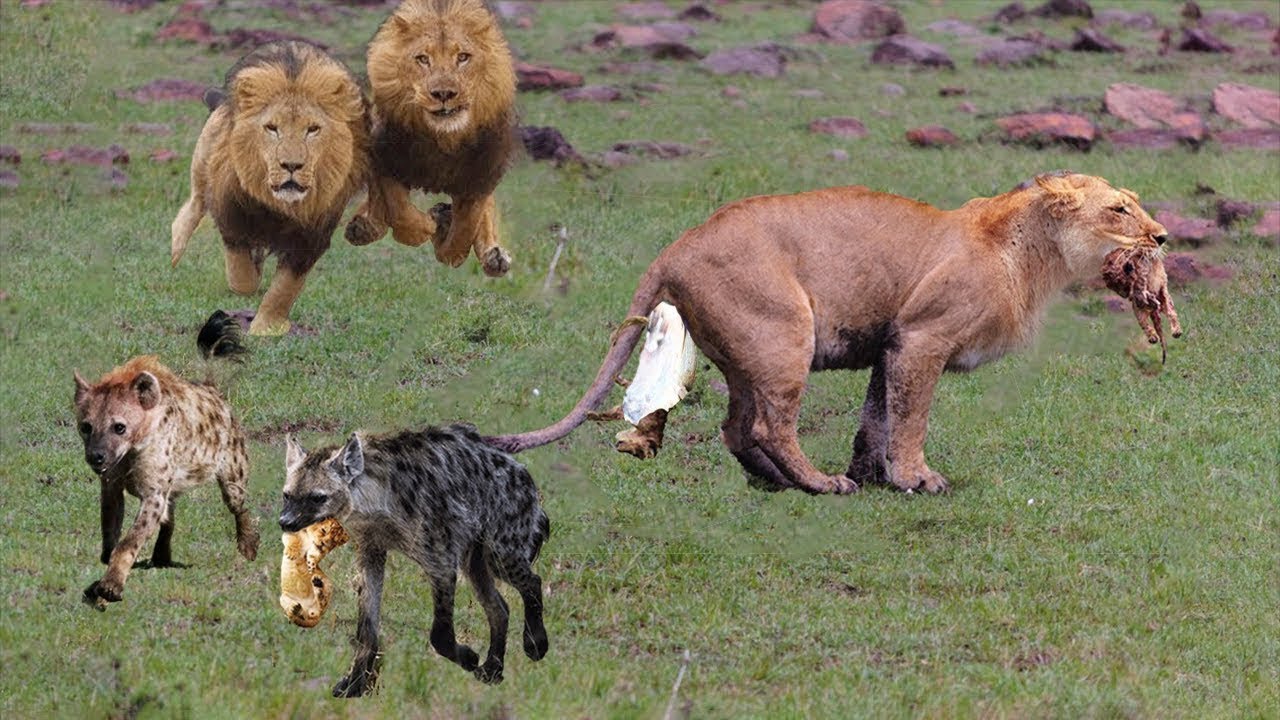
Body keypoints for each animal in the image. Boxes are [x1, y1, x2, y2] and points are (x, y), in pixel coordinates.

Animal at [170, 41, 371, 336]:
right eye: (272, 128)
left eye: (313, 129)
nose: (291, 165)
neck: (281, 205)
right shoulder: (231, 219)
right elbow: (243, 279)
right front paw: (252, 279)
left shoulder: (312, 238)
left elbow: (284, 289)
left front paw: (267, 327)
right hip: (203, 157)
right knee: (194, 202)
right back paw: (176, 250)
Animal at [343, 0, 518, 278]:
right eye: (423, 59)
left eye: (463, 57)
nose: (444, 93)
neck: (442, 138)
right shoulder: (387, 159)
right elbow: (399, 213)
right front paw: (427, 227)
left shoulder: (480, 174)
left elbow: (464, 234)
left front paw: (445, 228)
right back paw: (363, 228)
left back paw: (494, 257)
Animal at [484, 173, 1169, 495]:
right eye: (1119, 208)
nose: (1162, 237)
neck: (1034, 254)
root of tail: (676, 246)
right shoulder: (922, 338)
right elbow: (911, 417)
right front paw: (916, 479)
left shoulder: (892, 344)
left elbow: (877, 417)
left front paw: (874, 474)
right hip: (786, 332)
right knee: (768, 425)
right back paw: (817, 483)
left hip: (747, 350)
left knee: (736, 427)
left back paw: (779, 482)